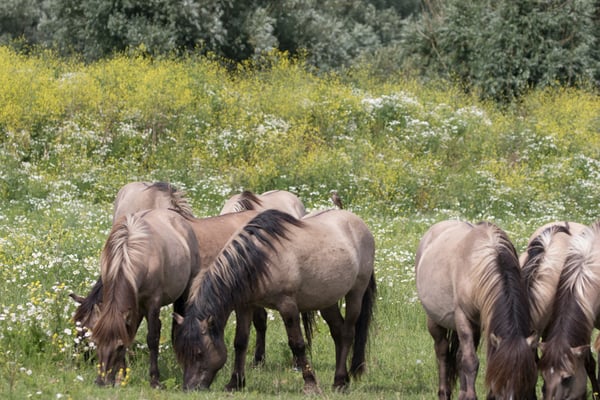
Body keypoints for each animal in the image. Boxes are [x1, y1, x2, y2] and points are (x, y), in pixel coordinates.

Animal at [92, 208, 200, 388]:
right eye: (96, 342)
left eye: (119, 346)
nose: (101, 381)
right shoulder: (133, 305)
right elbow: (130, 334)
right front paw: (121, 376)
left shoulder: (153, 302)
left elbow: (152, 339)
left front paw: (155, 379)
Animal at [173, 209, 376, 394]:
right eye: (181, 353)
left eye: (199, 353)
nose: (189, 388)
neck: (259, 260)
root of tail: (359, 224)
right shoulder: (245, 306)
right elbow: (240, 343)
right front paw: (235, 383)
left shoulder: (287, 306)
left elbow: (297, 344)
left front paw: (310, 385)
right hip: (327, 300)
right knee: (338, 333)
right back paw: (342, 380)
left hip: (355, 293)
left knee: (348, 333)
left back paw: (340, 381)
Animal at [415, 220, 538, 400]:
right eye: (501, 382)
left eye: (525, 381)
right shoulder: (463, 317)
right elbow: (470, 362)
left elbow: (465, 359)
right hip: (435, 320)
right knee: (442, 350)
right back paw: (444, 392)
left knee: (458, 355)